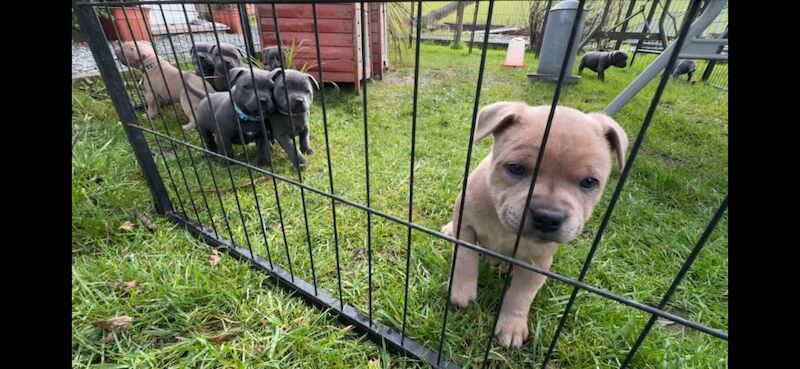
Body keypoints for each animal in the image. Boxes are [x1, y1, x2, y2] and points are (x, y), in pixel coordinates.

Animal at [440, 102, 628, 346]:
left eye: (589, 182)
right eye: (516, 168)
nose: (548, 217)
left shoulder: (537, 263)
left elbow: (521, 294)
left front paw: (512, 326)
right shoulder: (465, 223)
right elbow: (464, 257)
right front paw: (460, 292)